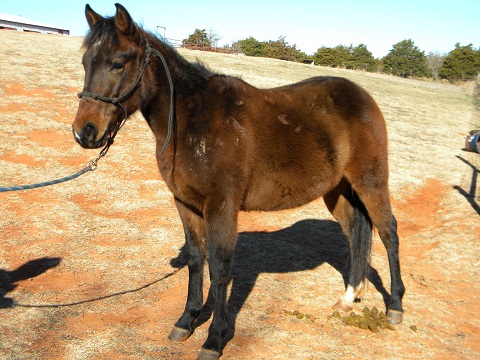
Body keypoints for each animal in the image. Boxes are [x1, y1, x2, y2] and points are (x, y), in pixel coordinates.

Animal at [73, 2, 404, 358]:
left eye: (118, 62)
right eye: (85, 62)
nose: (84, 132)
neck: (193, 121)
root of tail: (362, 96)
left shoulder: (222, 207)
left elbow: (220, 268)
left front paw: (215, 338)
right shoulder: (185, 203)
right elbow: (196, 259)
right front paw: (186, 321)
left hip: (371, 182)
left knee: (388, 232)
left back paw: (395, 306)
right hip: (337, 192)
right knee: (356, 234)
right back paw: (348, 298)